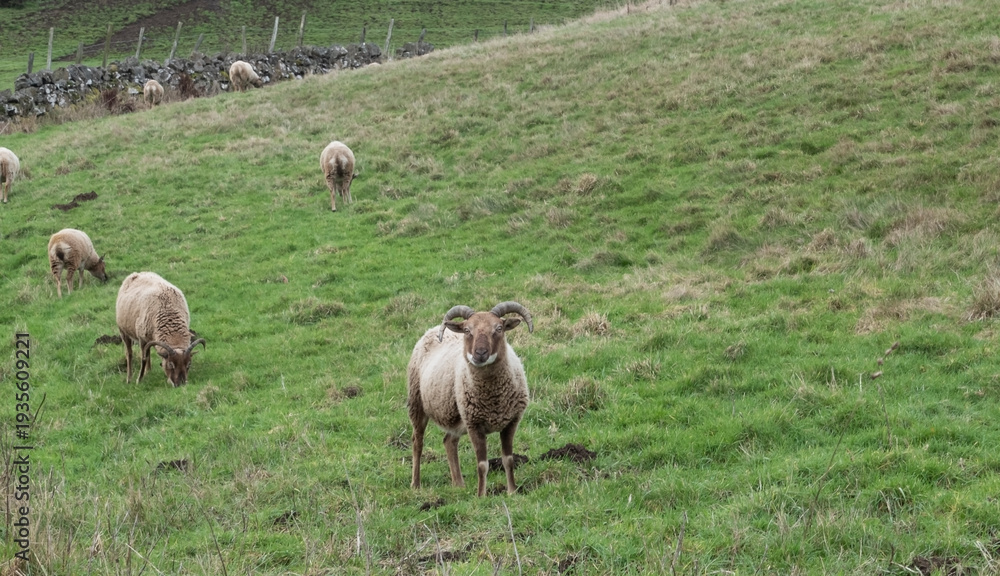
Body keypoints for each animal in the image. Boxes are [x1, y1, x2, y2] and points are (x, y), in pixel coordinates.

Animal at [407, 301, 534, 497]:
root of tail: (434, 328)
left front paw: (512, 491)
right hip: (417, 404)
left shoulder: (511, 422)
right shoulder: (474, 425)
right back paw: (415, 484)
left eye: (499, 328)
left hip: (457, 417)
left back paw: (459, 484)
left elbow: (508, 460)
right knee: (417, 442)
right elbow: (482, 465)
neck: (493, 398)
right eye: (467, 330)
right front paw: (481, 496)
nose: (480, 353)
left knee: (449, 442)